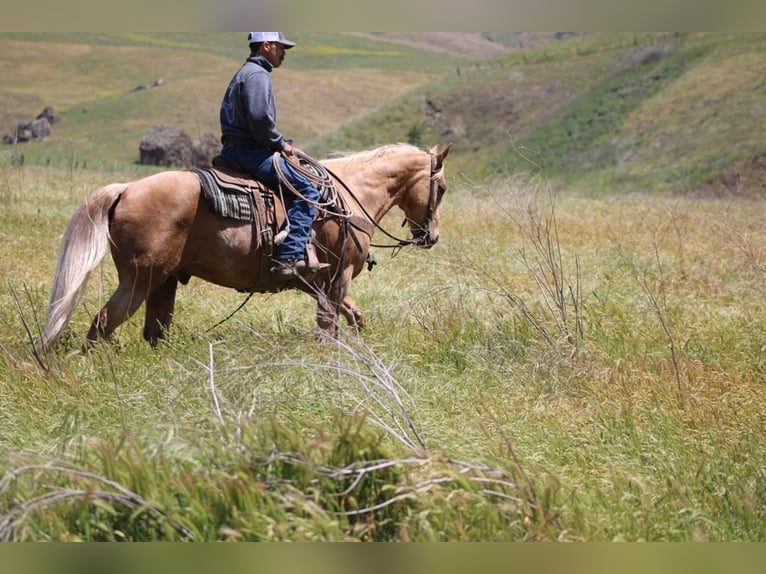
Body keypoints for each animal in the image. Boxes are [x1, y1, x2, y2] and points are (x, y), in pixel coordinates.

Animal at [40, 143, 452, 347]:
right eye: (443, 188)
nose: (431, 236)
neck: (350, 196)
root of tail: (126, 188)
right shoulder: (338, 277)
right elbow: (328, 324)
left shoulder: (318, 282)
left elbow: (353, 316)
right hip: (140, 281)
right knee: (103, 323)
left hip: (163, 283)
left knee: (154, 332)